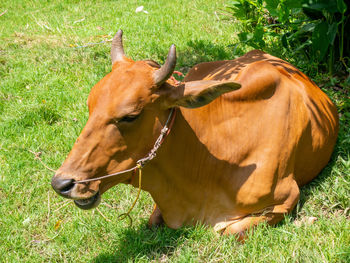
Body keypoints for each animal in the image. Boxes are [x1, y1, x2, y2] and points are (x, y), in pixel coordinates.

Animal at [50, 29, 338, 239]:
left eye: (130, 116)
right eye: (90, 106)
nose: (62, 183)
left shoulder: (287, 197)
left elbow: (227, 230)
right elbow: (153, 220)